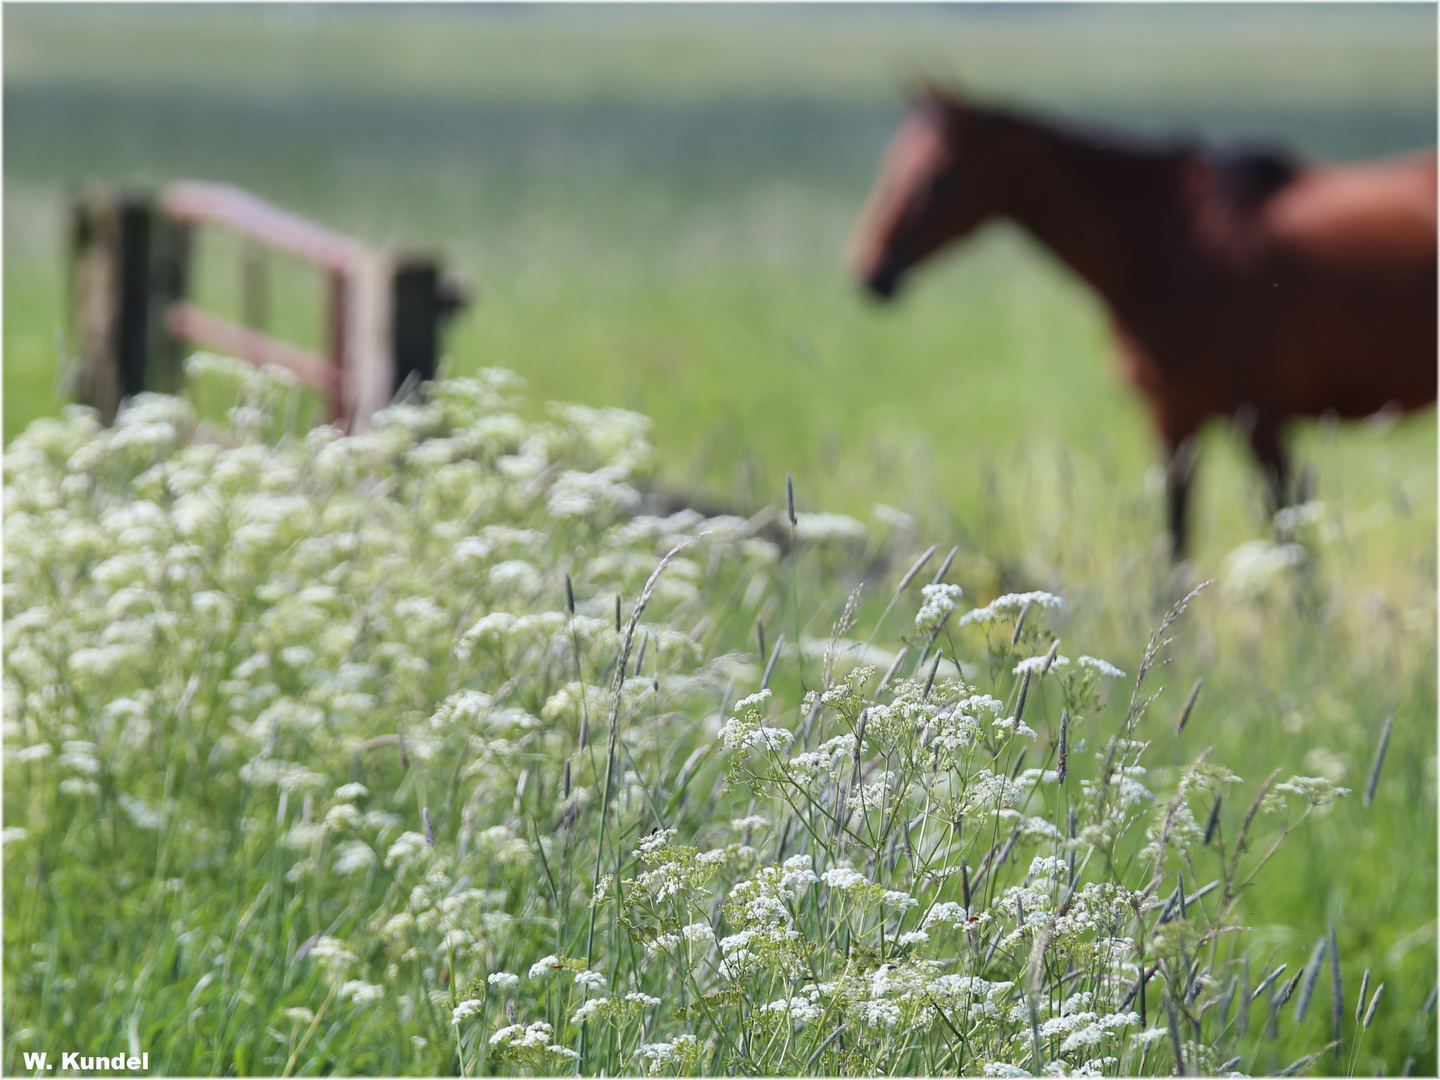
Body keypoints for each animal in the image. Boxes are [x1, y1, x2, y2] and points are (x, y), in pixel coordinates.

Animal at [846, 91, 1434, 558]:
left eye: (937, 179)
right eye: (894, 162)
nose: (871, 270)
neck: (1173, 239)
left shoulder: (1262, 419)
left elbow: (1288, 535)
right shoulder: (1171, 413)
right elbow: (1176, 537)